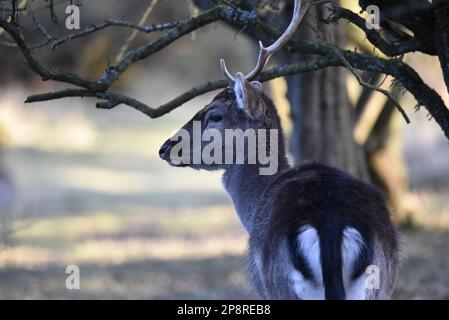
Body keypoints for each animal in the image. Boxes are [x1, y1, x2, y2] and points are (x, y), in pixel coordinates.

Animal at [159, 0, 398, 300]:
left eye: (214, 115)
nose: (165, 147)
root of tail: (331, 224)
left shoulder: (260, 284)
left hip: (281, 284)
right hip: (378, 283)